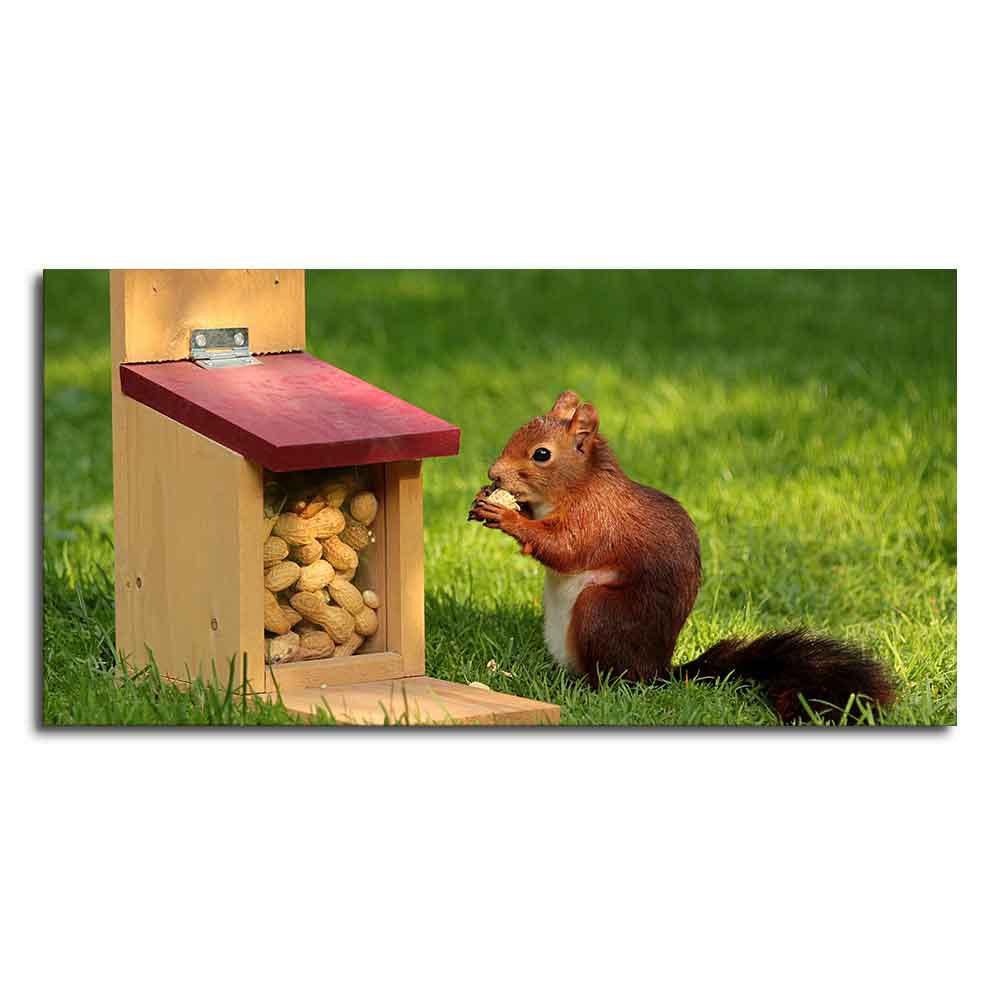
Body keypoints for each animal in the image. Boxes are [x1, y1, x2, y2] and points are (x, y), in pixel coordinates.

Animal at [468, 390, 896, 722]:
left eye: (542, 454)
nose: (493, 473)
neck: (579, 485)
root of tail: (658, 672)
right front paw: (490, 501)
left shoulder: (597, 521)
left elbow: (564, 549)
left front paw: (506, 516)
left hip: (600, 612)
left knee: (615, 680)